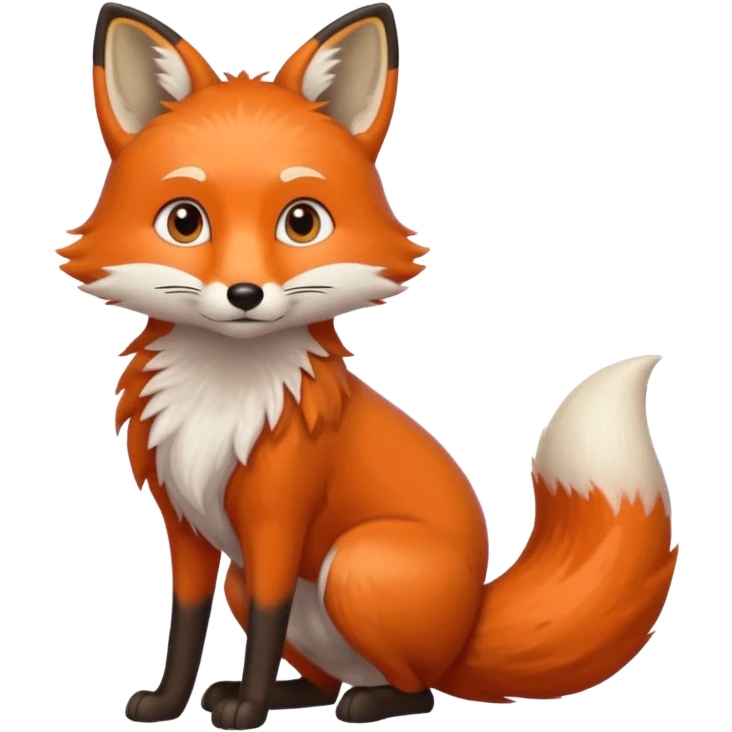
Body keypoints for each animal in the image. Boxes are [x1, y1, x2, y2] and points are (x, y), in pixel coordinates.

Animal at [58, 2, 679, 729]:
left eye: (301, 222)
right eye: (185, 221)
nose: (245, 295)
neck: (221, 395)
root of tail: (468, 625)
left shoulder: (277, 516)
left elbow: (265, 624)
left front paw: (250, 709)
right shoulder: (184, 525)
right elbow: (184, 624)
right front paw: (166, 703)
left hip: (359, 564)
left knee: (420, 690)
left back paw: (367, 701)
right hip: (257, 580)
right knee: (331, 678)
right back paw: (298, 694)